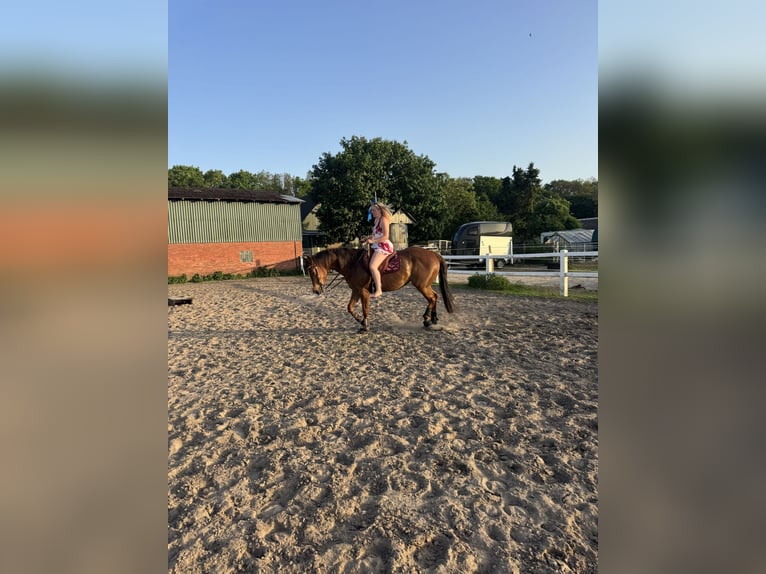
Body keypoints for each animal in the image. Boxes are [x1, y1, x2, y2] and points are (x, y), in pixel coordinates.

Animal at [303, 247, 455, 331]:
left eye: (313, 271)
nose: (316, 291)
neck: (353, 263)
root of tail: (434, 254)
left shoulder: (363, 291)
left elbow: (365, 309)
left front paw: (364, 326)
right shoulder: (356, 290)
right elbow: (350, 308)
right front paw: (360, 321)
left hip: (422, 286)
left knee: (432, 298)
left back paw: (427, 319)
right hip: (425, 285)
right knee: (434, 297)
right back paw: (432, 319)